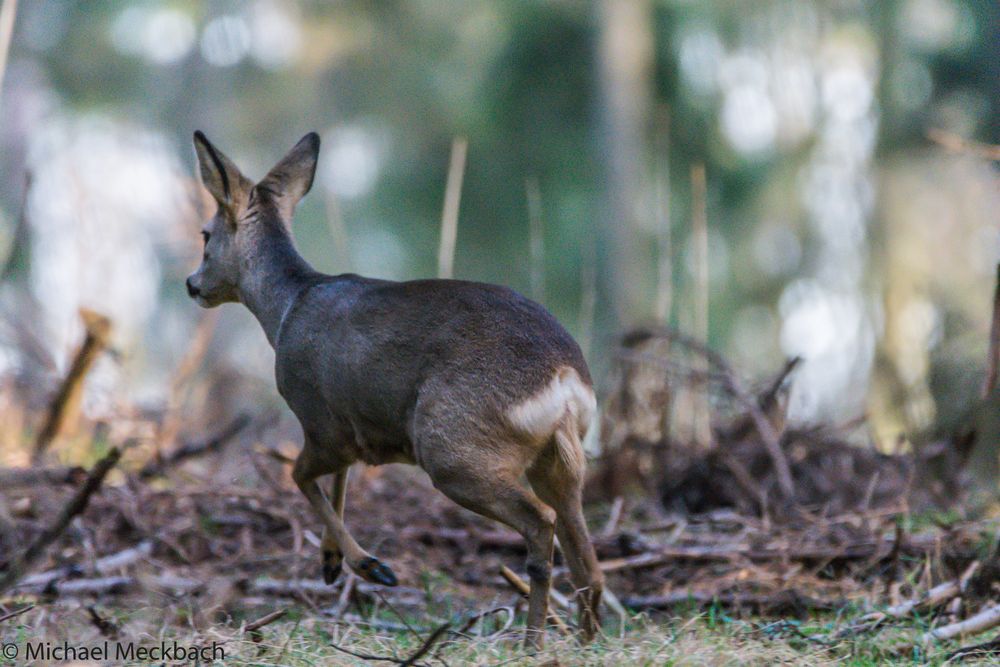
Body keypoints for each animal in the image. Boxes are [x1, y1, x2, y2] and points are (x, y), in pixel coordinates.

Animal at [187, 130, 604, 648]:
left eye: (205, 234)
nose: (192, 284)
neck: (285, 311)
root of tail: (565, 380)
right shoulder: (352, 427)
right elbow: (340, 478)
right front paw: (331, 562)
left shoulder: (317, 415)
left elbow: (300, 476)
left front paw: (370, 566)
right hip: (558, 460)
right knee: (588, 560)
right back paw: (586, 639)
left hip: (453, 449)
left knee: (540, 522)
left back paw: (531, 642)